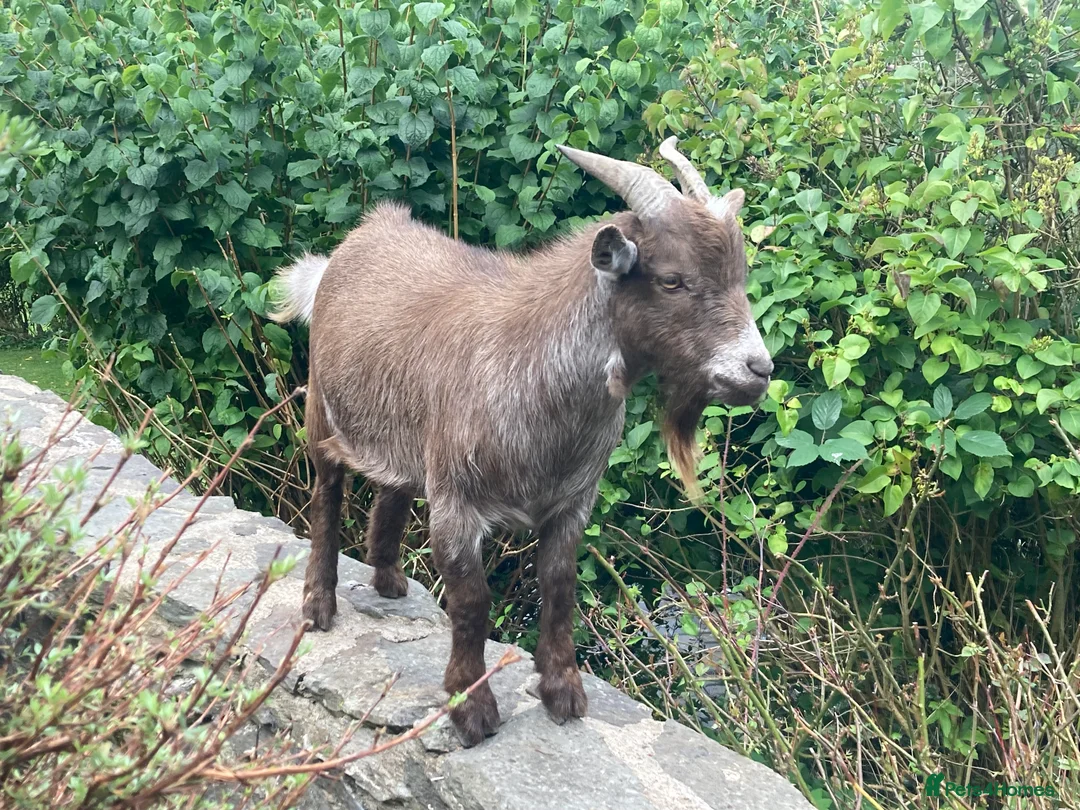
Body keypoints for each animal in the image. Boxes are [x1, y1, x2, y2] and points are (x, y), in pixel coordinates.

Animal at [269, 138, 774, 747]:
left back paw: (389, 581)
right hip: (323, 408)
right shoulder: (456, 503)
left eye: (741, 275)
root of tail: (361, 236)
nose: (758, 370)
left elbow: (558, 587)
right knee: (326, 494)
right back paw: (317, 606)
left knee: (393, 488)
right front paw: (471, 708)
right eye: (672, 279)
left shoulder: (571, 502)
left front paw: (563, 692)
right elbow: (472, 600)